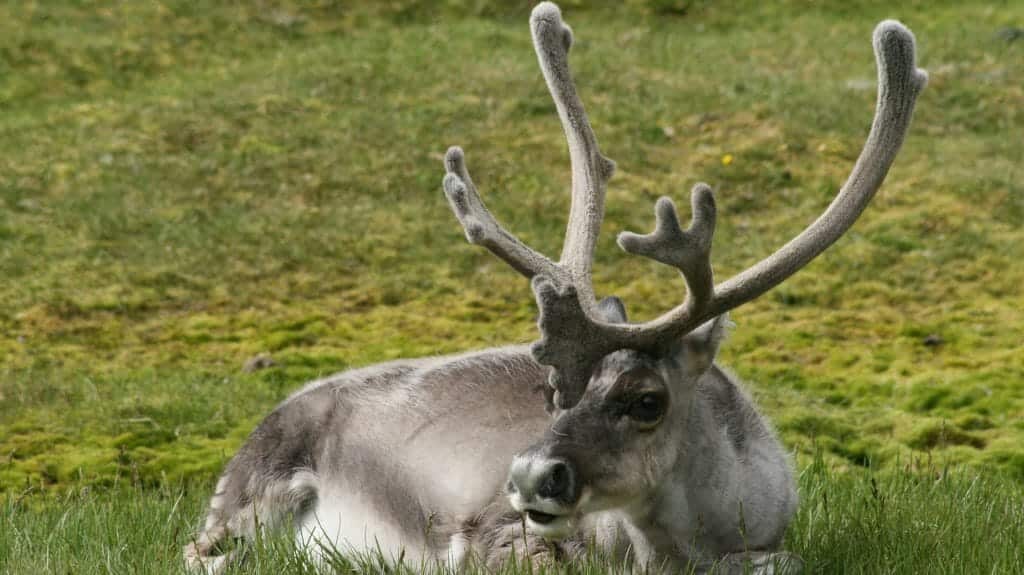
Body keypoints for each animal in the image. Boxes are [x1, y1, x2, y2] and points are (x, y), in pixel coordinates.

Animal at [184, 3, 926, 573]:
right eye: (553, 392)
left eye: (647, 399)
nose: (526, 476)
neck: (685, 543)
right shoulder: (498, 536)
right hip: (249, 491)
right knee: (202, 552)